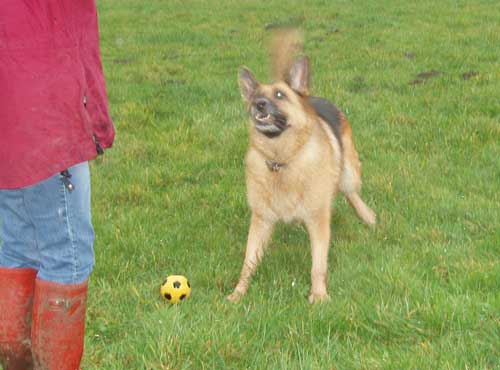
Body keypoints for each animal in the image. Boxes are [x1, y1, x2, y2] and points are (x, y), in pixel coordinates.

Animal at [227, 29, 376, 304]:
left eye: (279, 95)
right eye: (254, 96)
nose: (258, 104)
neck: (282, 161)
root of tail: (310, 95)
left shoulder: (318, 221)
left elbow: (318, 264)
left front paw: (318, 295)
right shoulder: (261, 220)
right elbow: (248, 262)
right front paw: (238, 292)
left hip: (349, 172)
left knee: (350, 192)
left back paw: (368, 216)